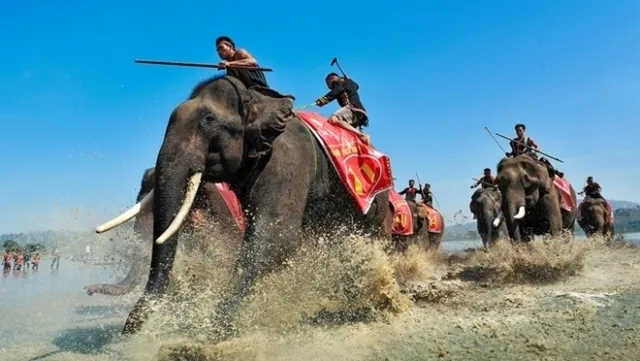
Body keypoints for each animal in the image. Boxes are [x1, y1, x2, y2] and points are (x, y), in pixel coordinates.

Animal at [117, 74, 392, 338]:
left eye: (208, 120)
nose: (127, 330)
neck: (258, 100)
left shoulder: (287, 158)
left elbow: (276, 236)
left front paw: (217, 327)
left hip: (377, 202)